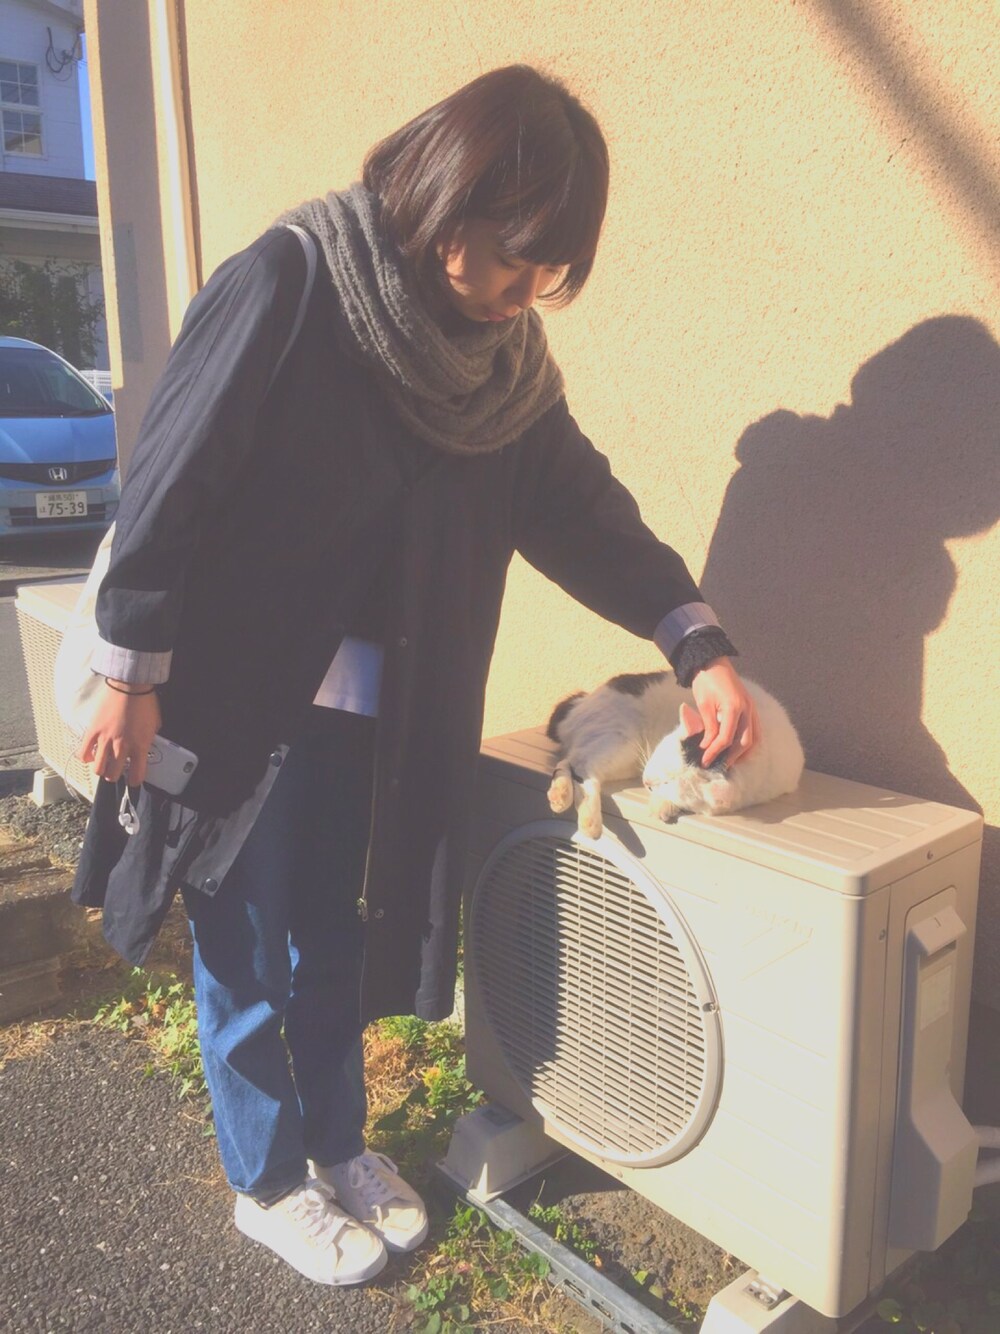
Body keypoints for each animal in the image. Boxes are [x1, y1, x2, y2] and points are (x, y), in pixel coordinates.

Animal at [546, 671, 804, 838]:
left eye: (668, 783)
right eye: (660, 755)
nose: (646, 781)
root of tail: (583, 700)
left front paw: (662, 804)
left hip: (622, 759)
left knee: (571, 762)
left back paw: (565, 799)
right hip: (622, 740)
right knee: (582, 765)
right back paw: (588, 821)